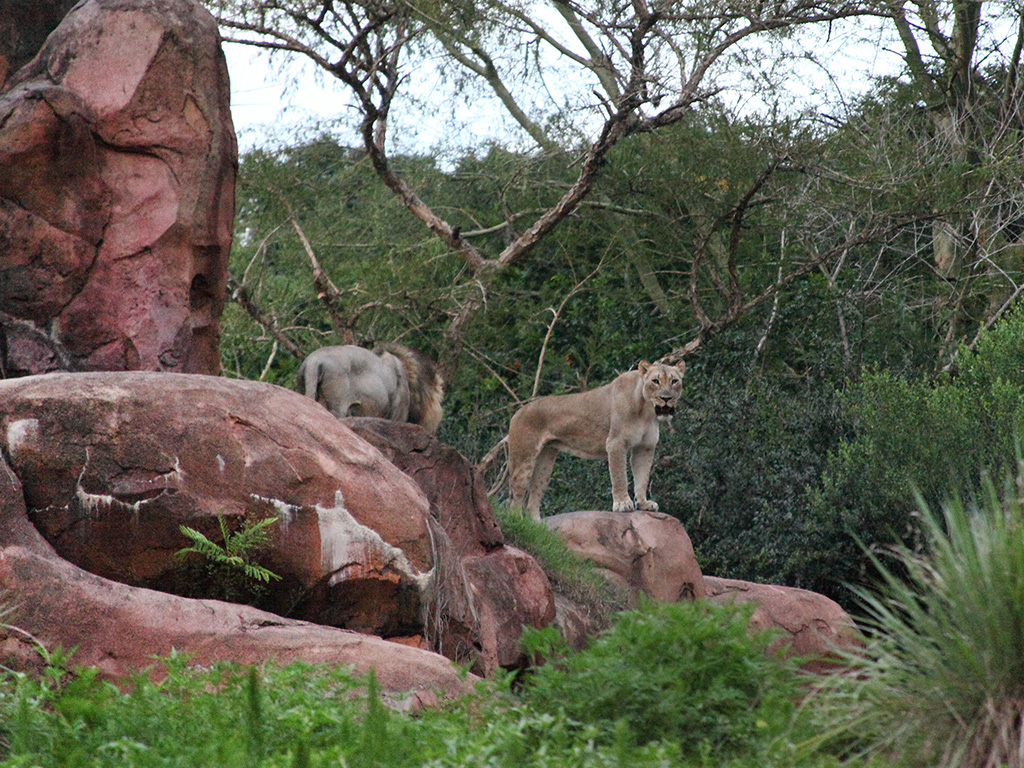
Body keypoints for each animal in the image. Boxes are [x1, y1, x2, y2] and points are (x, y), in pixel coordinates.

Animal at [507, 360, 686, 520]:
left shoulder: (645, 447)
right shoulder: (615, 443)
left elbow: (642, 477)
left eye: (674, 381)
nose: (666, 398)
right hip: (524, 460)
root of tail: (517, 412)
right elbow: (620, 476)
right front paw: (622, 504)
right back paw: (518, 520)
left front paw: (644, 504)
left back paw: (538, 526)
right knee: (515, 498)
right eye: (655, 381)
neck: (646, 410)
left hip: (546, 460)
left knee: (534, 495)